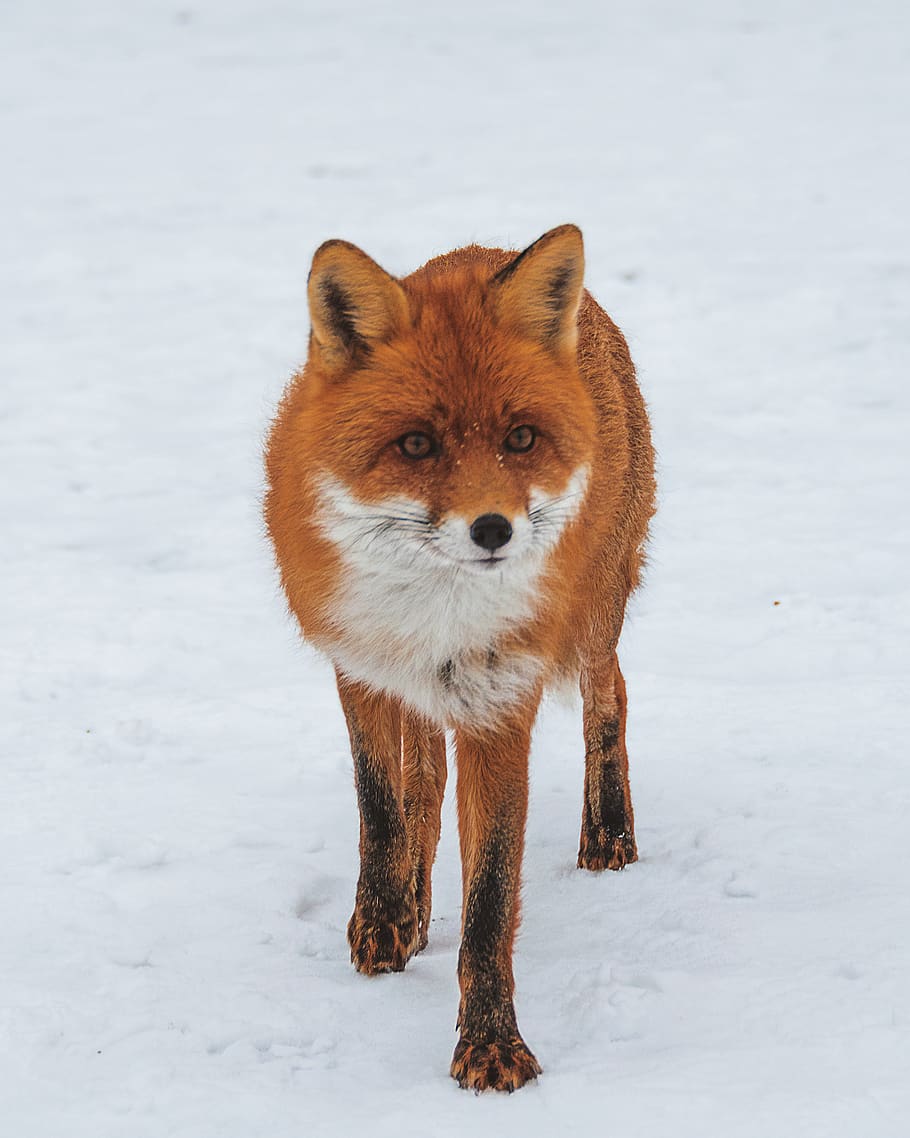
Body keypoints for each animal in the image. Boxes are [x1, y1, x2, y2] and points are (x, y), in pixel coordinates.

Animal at [264, 224, 656, 1092]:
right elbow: (383, 807)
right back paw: (408, 907)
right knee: (424, 781)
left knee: (612, 692)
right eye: (416, 443)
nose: (493, 530)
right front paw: (384, 918)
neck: (439, 614)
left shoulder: (500, 702)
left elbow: (489, 900)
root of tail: (489, 246)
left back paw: (609, 834)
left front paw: (491, 1047)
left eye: (520, 439)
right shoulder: (364, 667)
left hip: (592, 616)